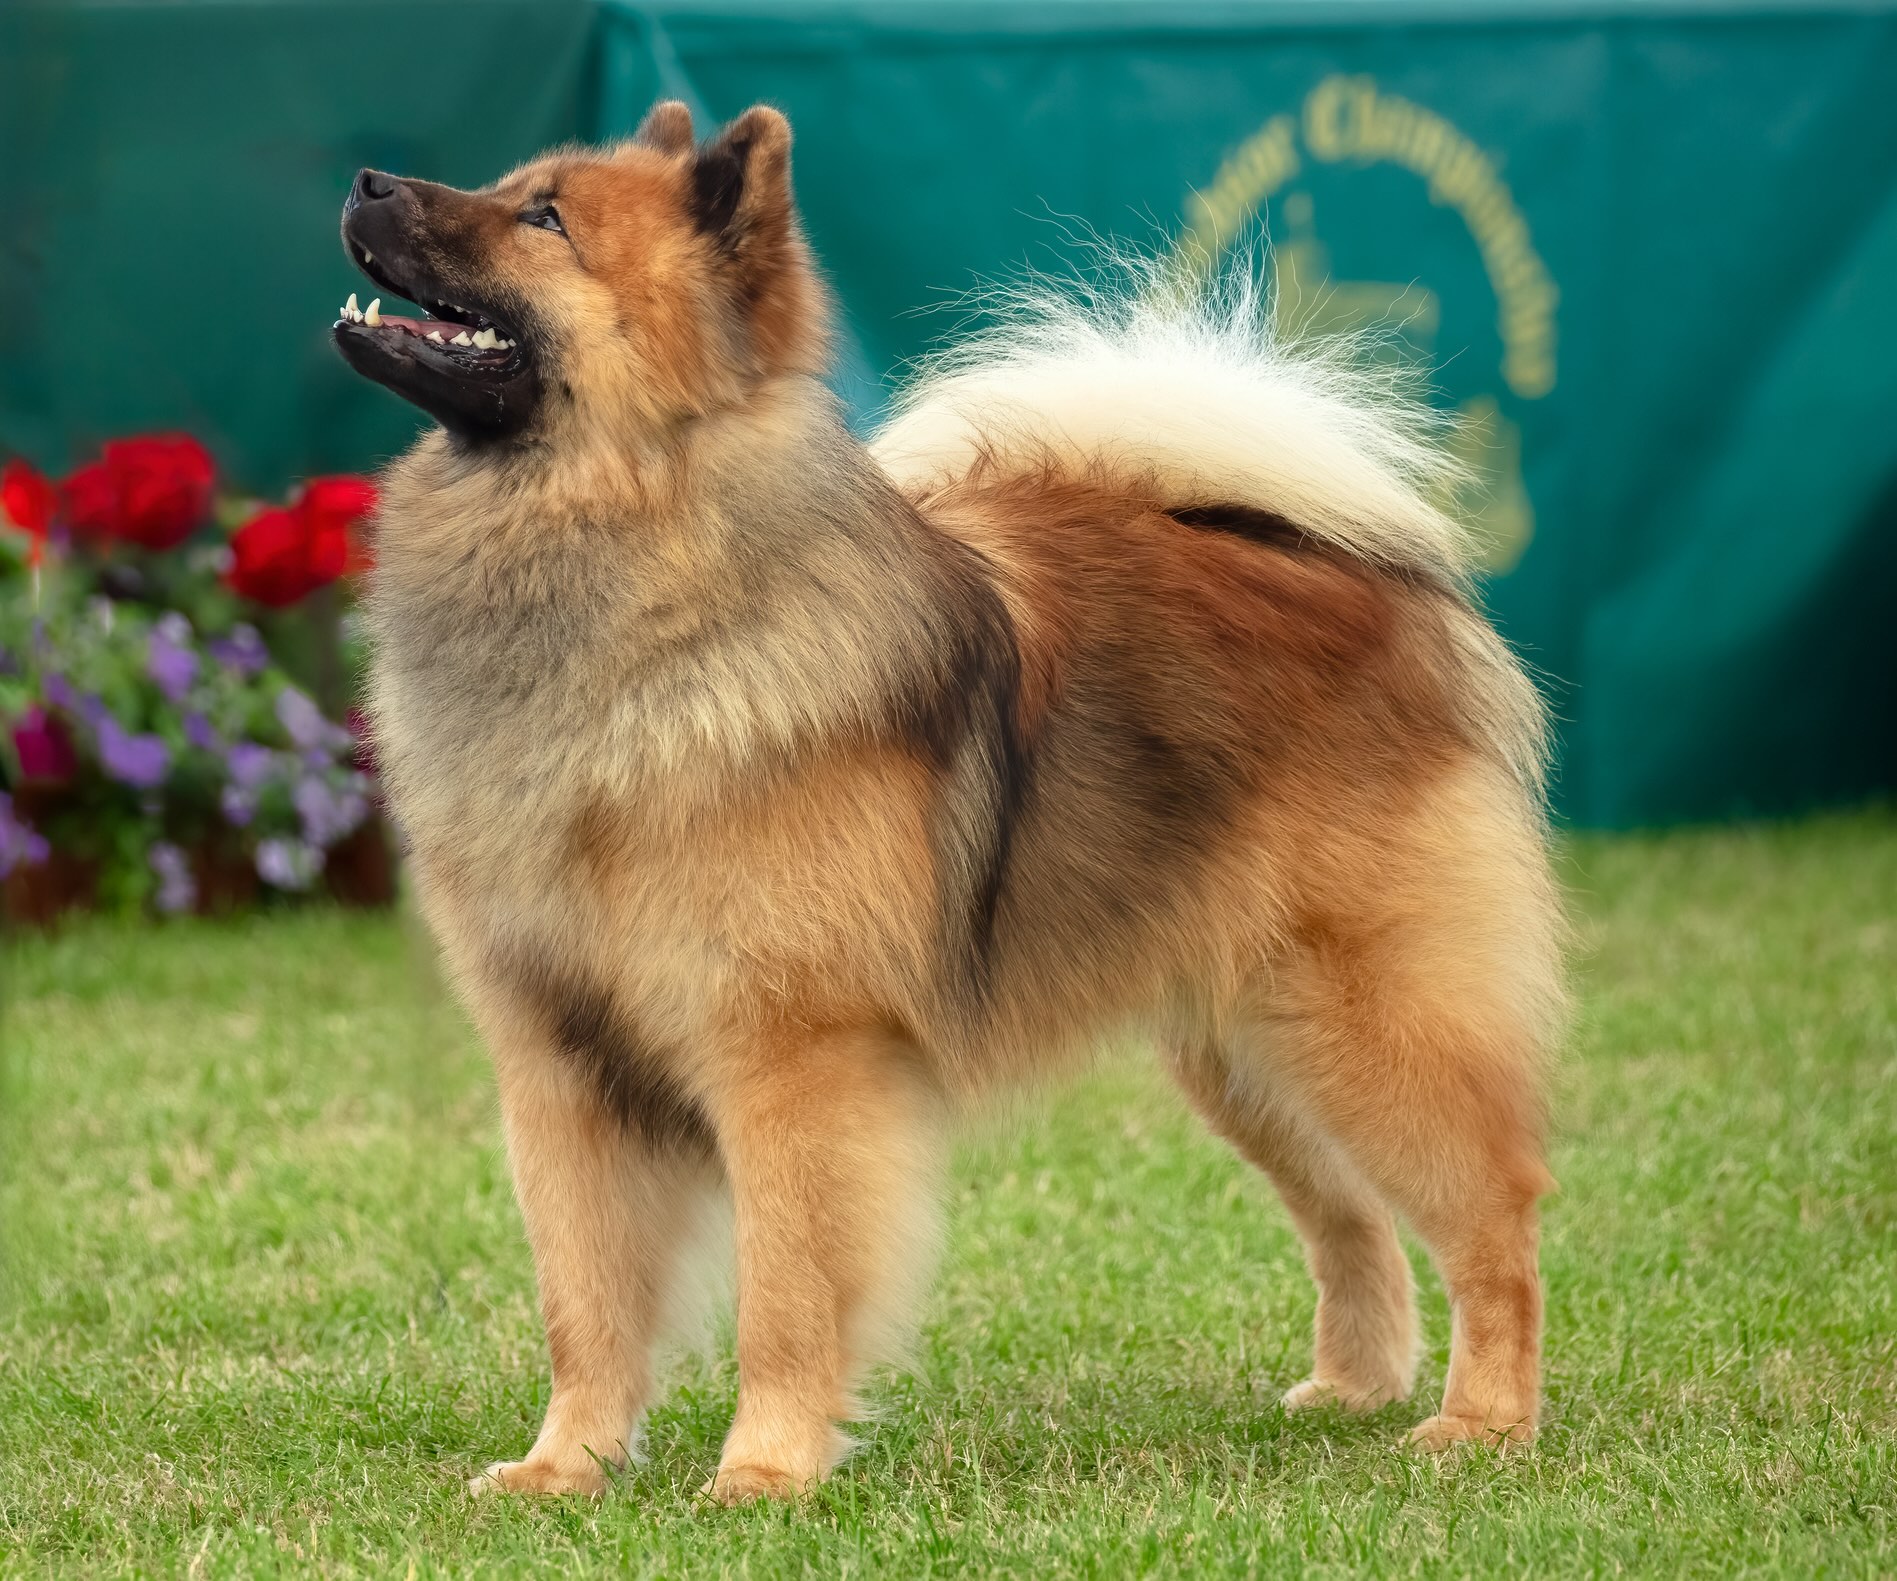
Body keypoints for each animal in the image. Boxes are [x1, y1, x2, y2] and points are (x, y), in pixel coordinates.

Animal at [333, 101, 1563, 1503]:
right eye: (508, 185)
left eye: (543, 218)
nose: (366, 181)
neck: (630, 556)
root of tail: (1358, 579)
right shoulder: (560, 1067)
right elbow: (583, 1302)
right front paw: (566, 1469)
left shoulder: (790, 1057)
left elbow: (785, 1294)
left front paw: (764, 1473)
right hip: (1246, 1050)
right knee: (1350, 1211)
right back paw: (1356, 1385)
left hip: (1366, 1018)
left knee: (1493, 1210)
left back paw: (1482, 1423)